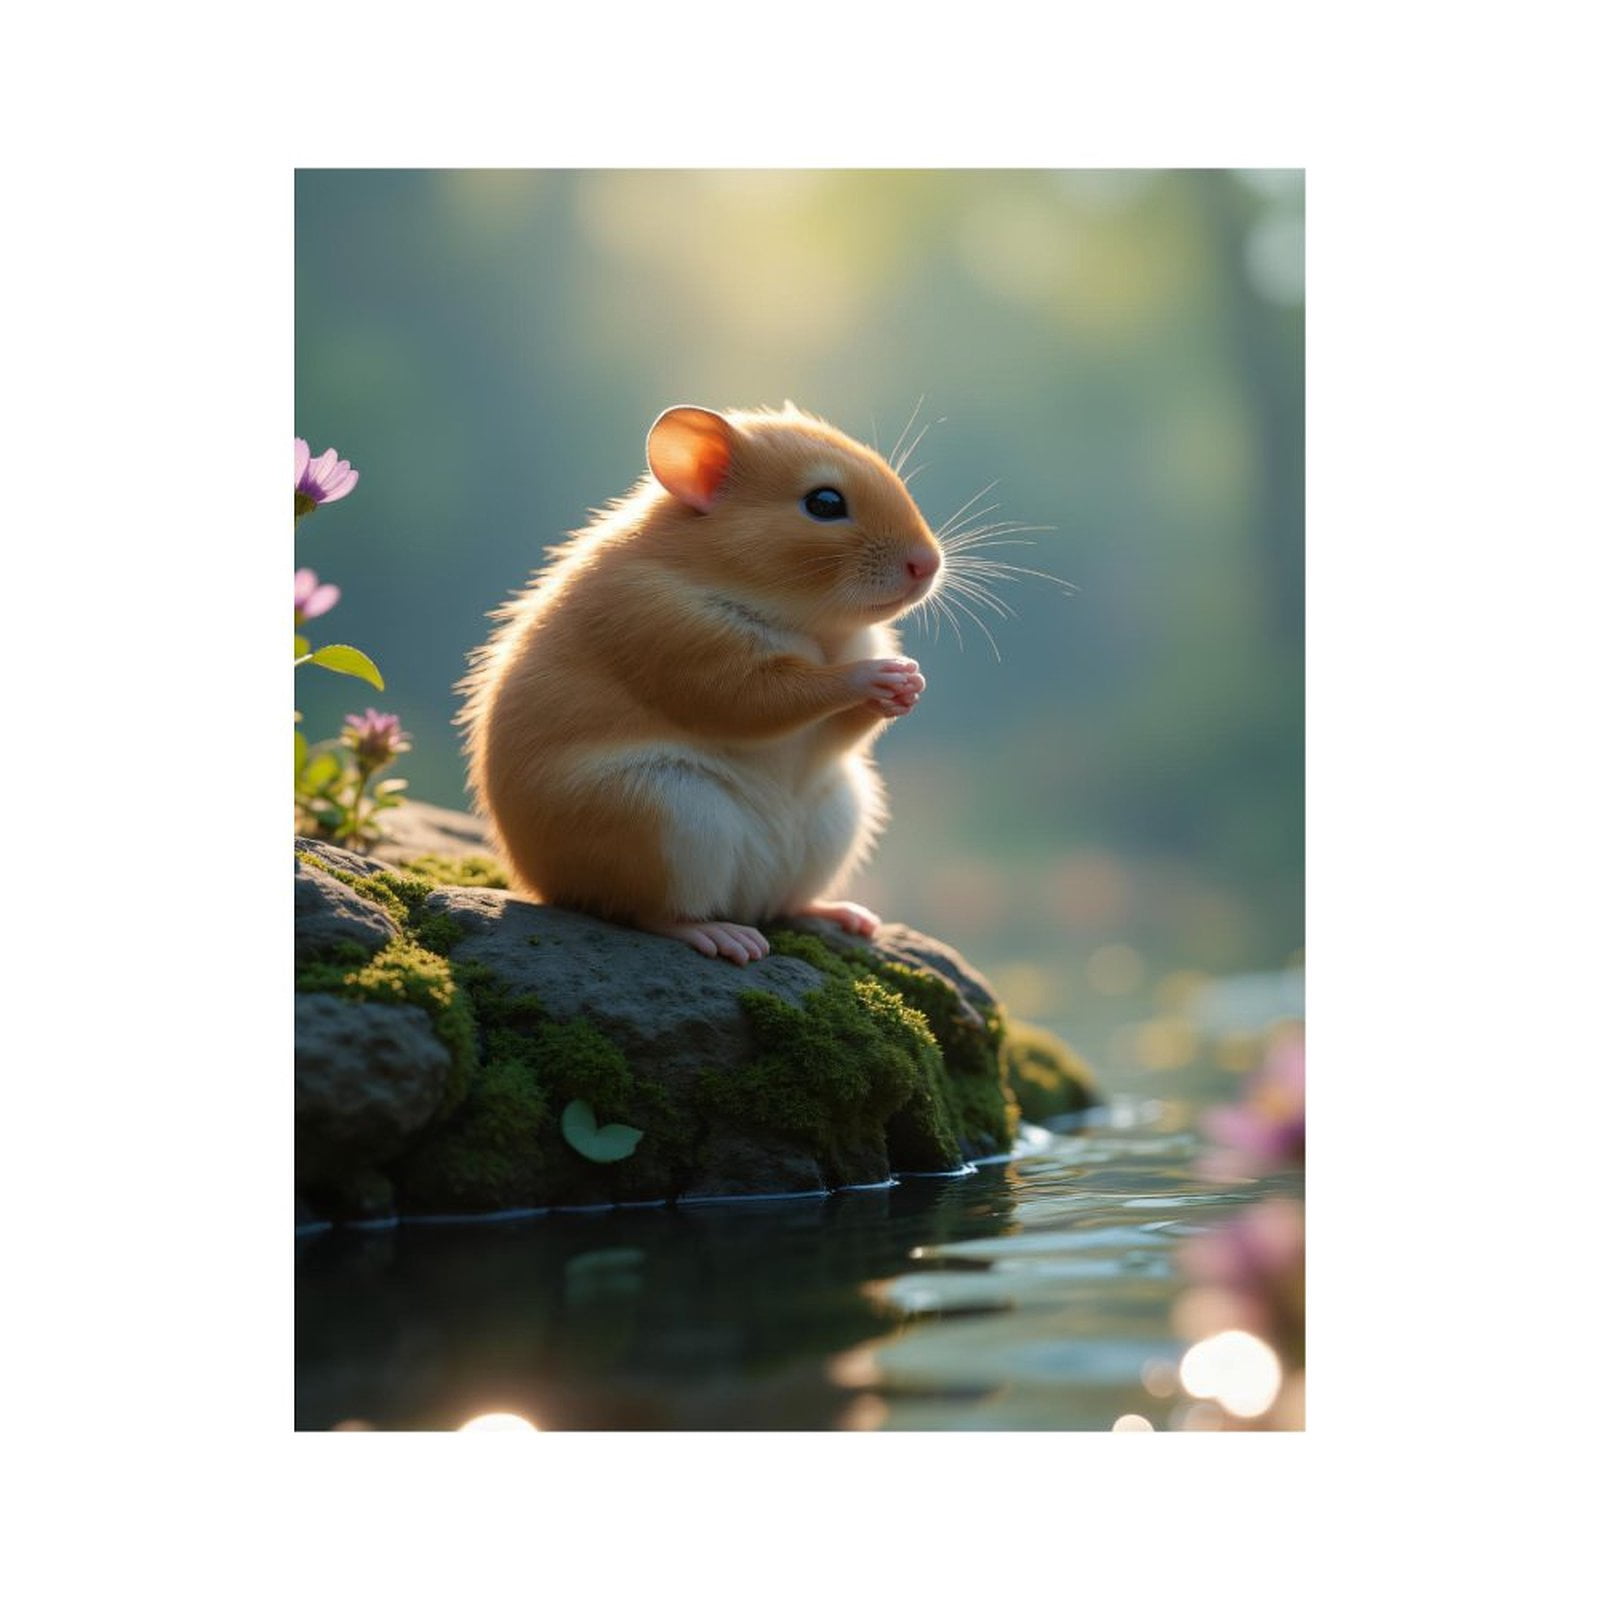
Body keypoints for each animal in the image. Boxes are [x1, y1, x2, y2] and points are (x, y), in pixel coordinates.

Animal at [458, 403, 943, 965]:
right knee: (643, 912)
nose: (928, 563)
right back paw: (718, 935)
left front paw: (909, 684)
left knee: (784, 904)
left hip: (837, 818)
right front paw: (874, 676)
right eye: (824, 503)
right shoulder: (680, 642)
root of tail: (540, 886)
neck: (816, 627)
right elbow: (765, 699)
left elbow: (839, 733)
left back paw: (839, 913)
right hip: (664, 818)